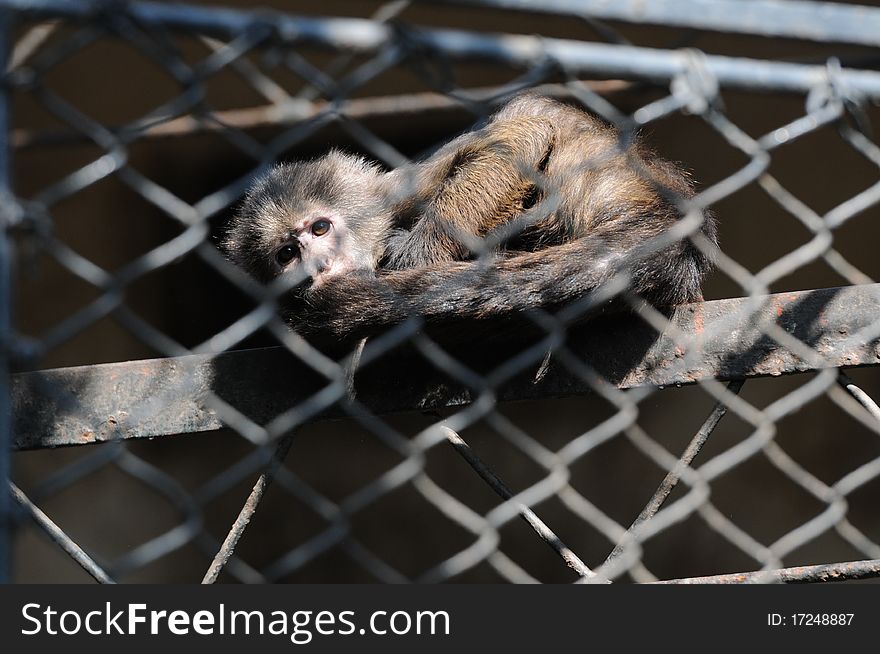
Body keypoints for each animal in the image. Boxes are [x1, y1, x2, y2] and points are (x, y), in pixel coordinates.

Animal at [227, 95, 716, 346]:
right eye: (287, 254)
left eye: (320, 228)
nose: (318, 267)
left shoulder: (405, 189)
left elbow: (524, 137)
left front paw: (410, 260)